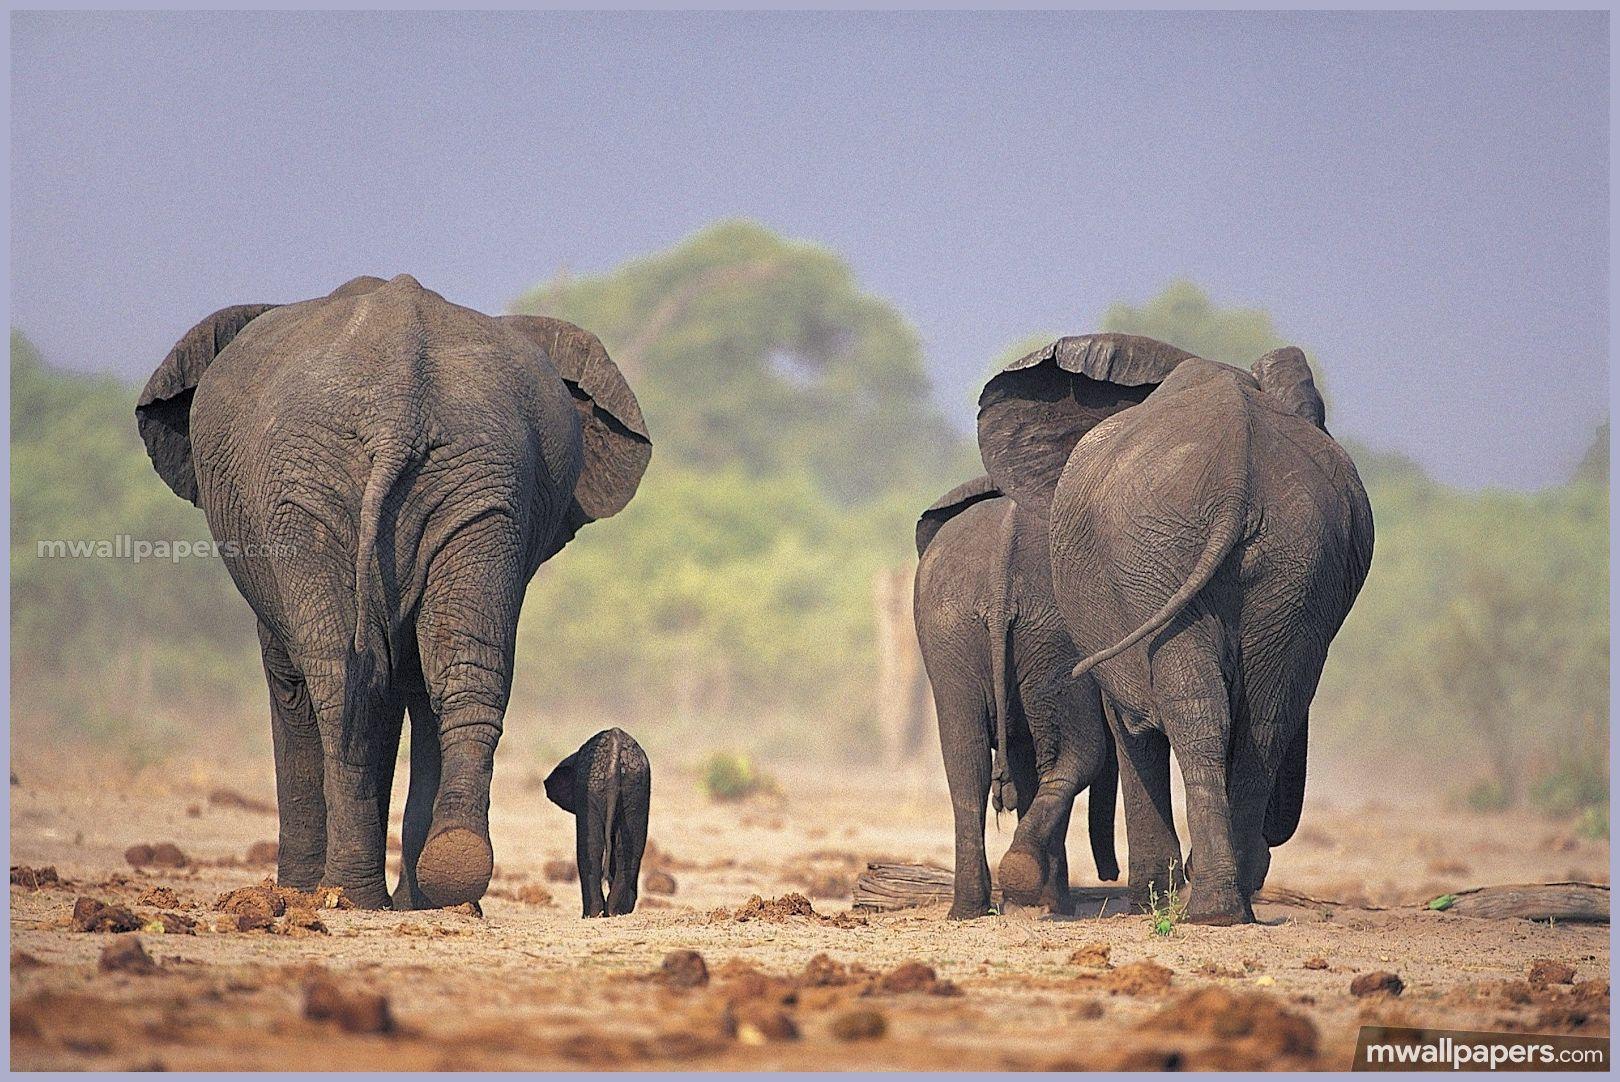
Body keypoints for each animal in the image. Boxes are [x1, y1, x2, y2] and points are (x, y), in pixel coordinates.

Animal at [914, 476, 1119, 920]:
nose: (1109, 874)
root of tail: (1000, 576)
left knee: (966, 761)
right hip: (1055, 637)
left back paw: (969, 910)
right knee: (1075, 753)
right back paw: (1047, 900)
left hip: (952, 630)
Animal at [977, 333, 1373, 925]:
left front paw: (1149, 895)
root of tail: (1238, 470)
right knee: (1265, 713)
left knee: (1198, 708)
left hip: (1161, 553)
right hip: (1288, 557)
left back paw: (1203, 903)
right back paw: (1225, 903)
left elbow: (1129, 722)